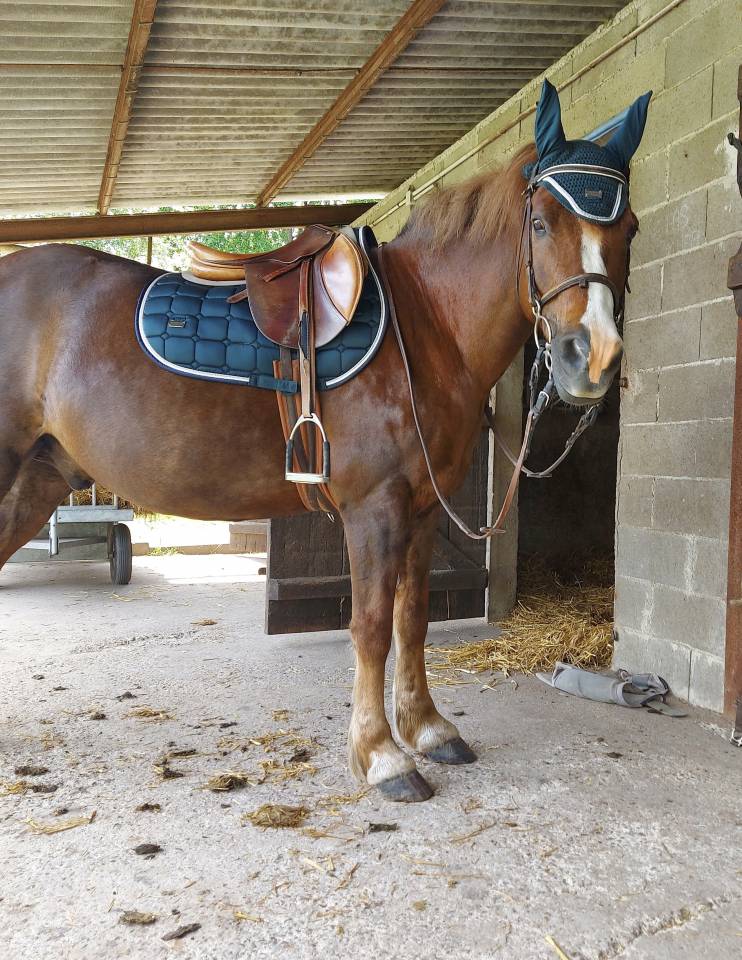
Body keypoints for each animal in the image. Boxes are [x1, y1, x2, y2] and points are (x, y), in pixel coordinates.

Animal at [0, 82, 648, 801]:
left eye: (628, 228)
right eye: (540, 224)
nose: (593, 360)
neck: (425, 328)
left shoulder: (424, 510)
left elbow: (413, 619)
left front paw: (428, 730)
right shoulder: (375, 507)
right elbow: (370, 626)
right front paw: (383, 756)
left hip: (38, 480)